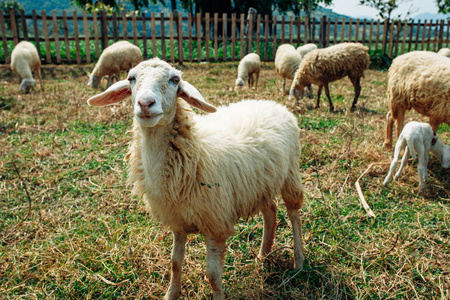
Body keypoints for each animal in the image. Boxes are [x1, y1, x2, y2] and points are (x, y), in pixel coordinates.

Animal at [87, 58, 306, 300]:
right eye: (131, 78)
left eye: (175, 80)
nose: (145, 103)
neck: (194, 153)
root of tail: (273, 104)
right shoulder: (178, 221)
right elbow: (175, 263)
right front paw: (171, 294)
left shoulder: (216, 225)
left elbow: (212, 275)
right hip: (260, 184)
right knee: (271, 212)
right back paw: (263, 255)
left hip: (291, 173)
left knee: (294, 214)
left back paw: (298, 261)